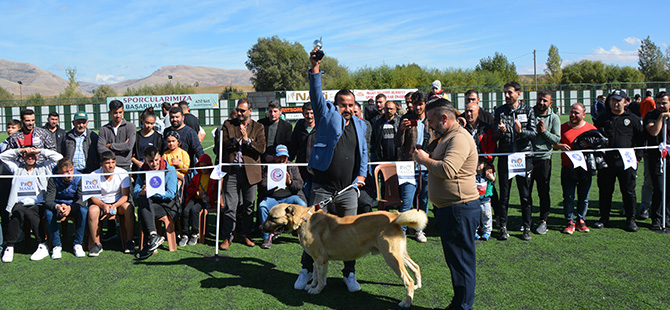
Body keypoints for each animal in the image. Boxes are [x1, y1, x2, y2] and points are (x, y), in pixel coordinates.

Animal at [260, 203, 428, 308]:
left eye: (272, 218)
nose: (260, 227)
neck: (303, 219)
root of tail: (395, 216)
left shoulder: (321, 260)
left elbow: (321, 279)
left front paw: (316, 290)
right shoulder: (316, 260)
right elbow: (315, 276)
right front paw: (311, 286)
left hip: (392, 257)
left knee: (407, 280)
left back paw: (407, 302)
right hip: (399, 254)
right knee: (416, 267)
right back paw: (418, 285)